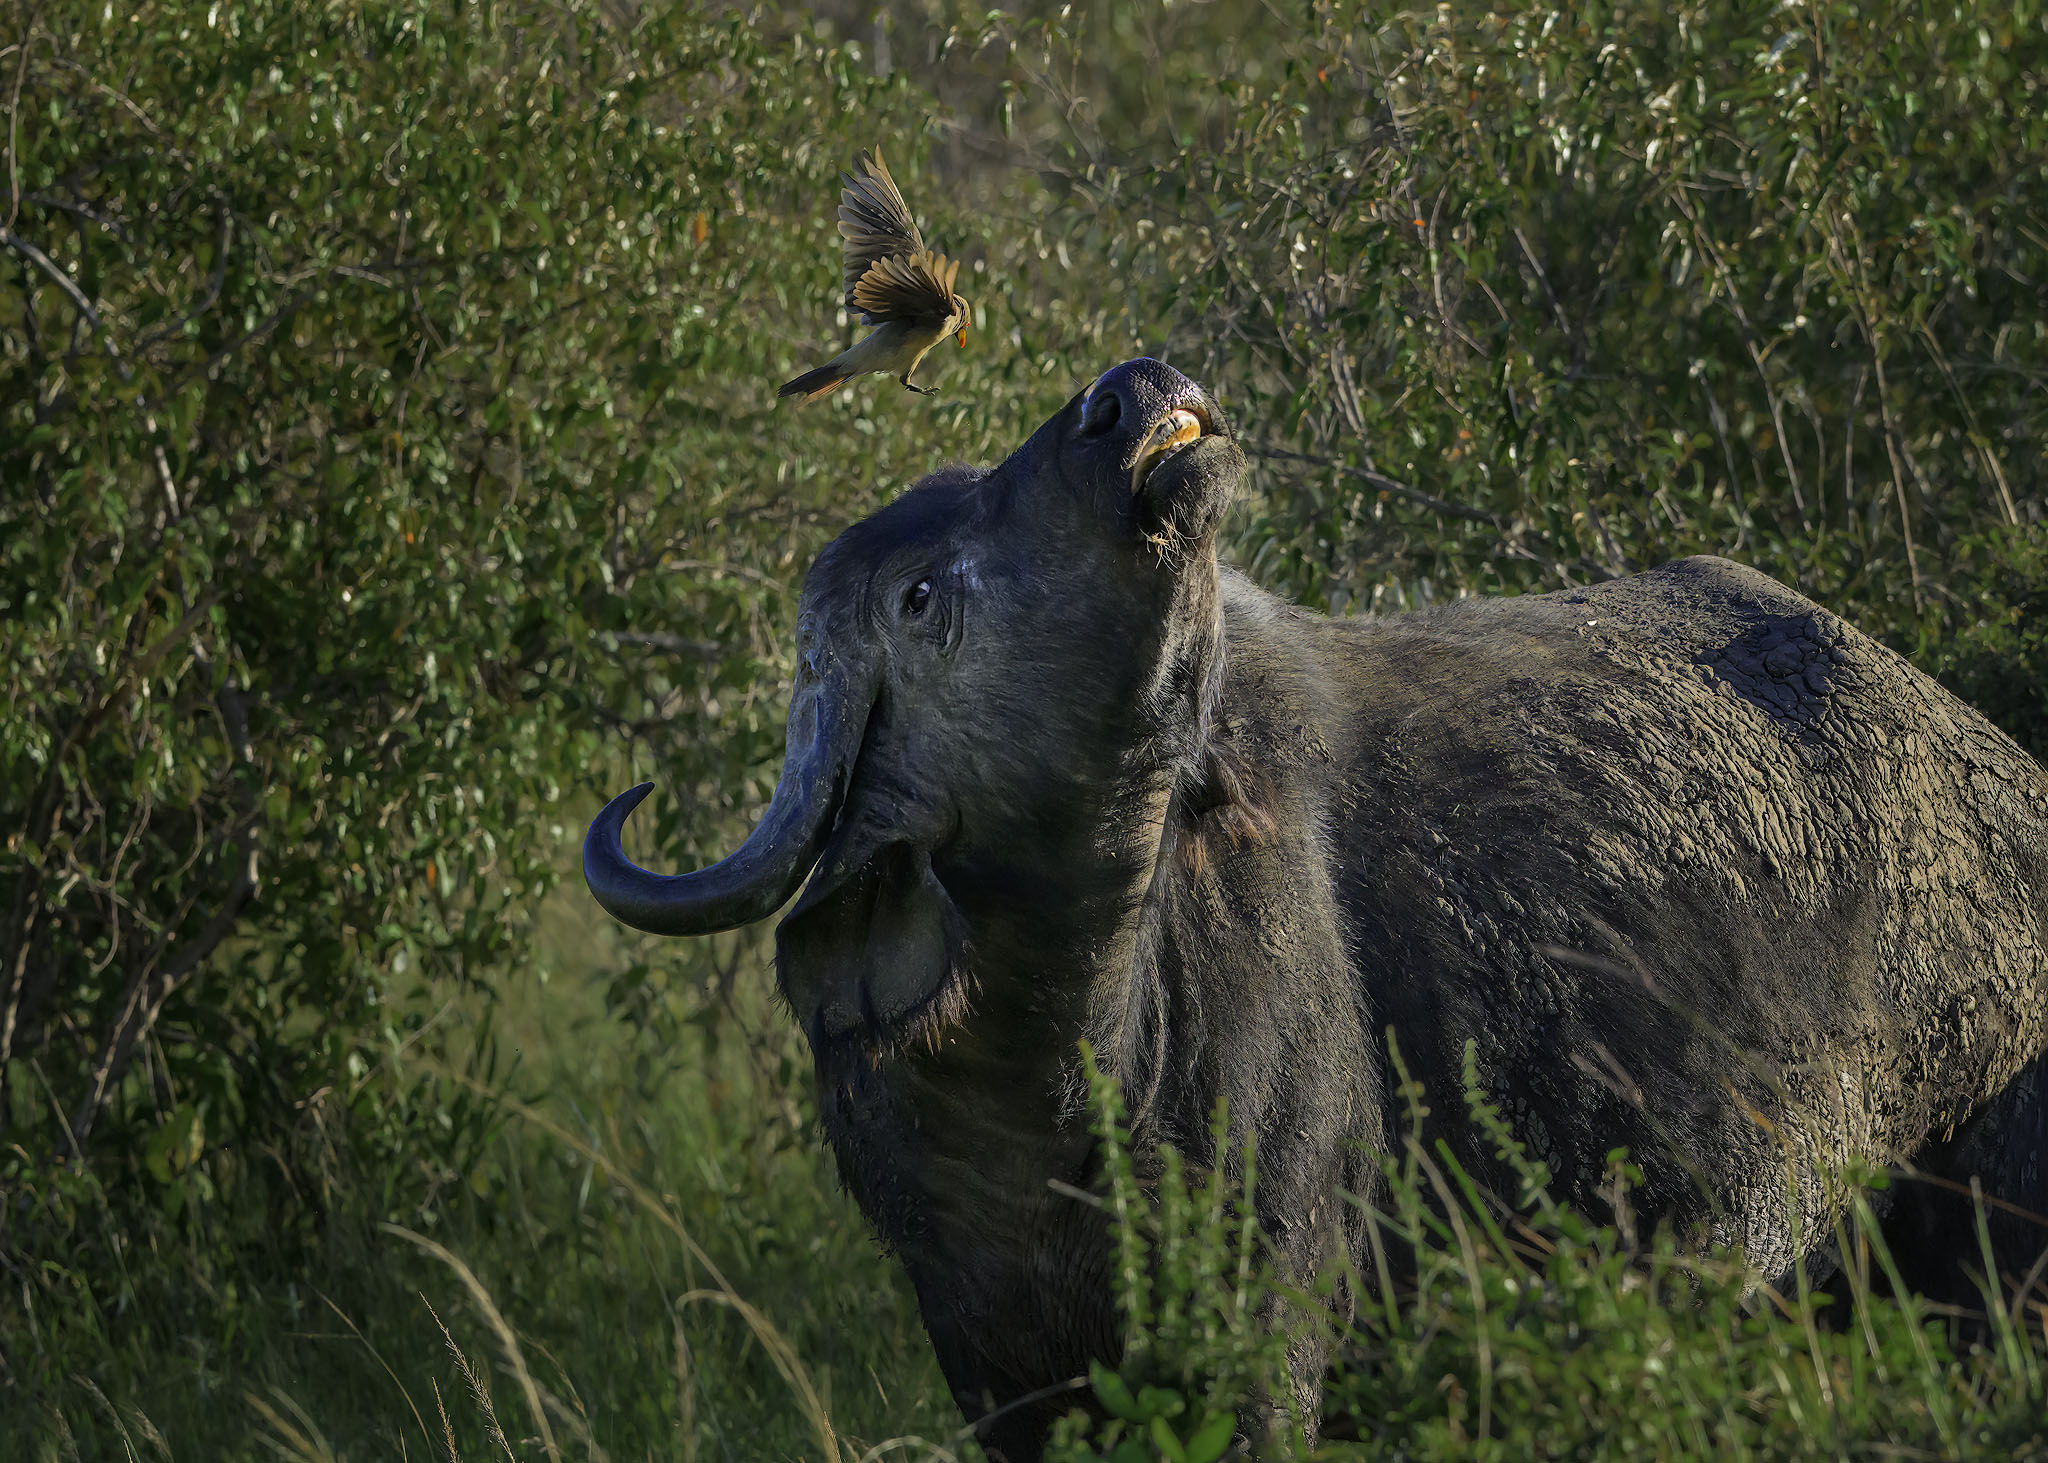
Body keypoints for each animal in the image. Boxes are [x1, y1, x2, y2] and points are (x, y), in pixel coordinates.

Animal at [585, 358, 2048, 1458]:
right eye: (922, 592)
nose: (1131, 388)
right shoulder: (994, 1365)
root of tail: (1998, 775)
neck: (1056, 1074)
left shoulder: (1264, 1341)